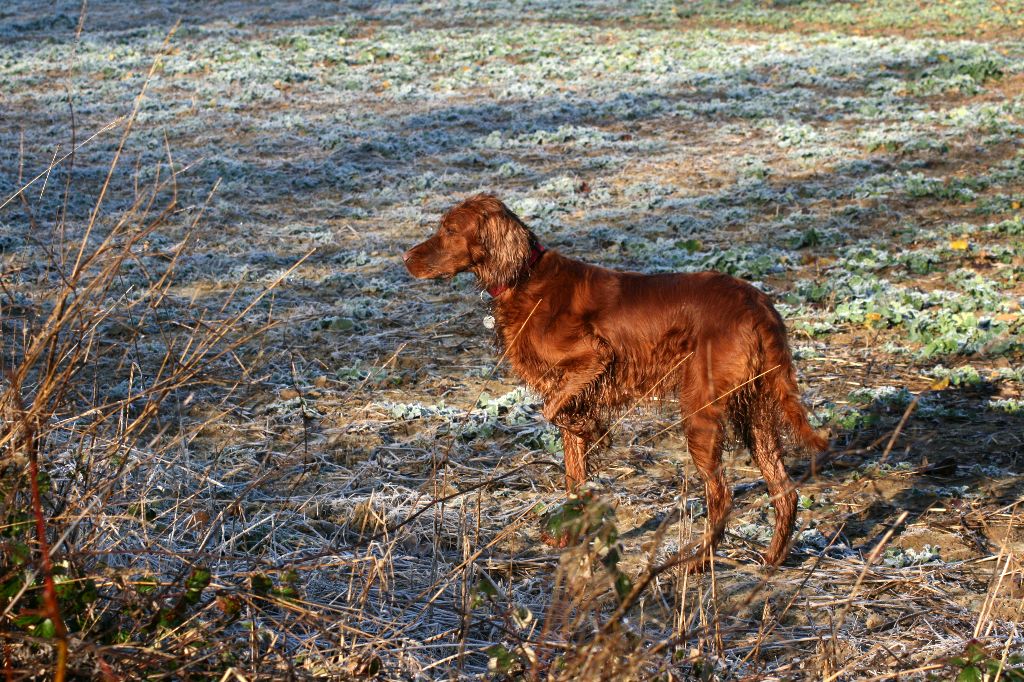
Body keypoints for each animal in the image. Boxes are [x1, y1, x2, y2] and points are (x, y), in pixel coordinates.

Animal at [403, 193, 827, 565]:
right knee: (784, 490)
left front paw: (597, 430)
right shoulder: (573, 388)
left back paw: (693, 564)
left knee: (721, 494)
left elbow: (550, 410)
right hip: (755, 413)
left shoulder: (595, 356)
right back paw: (771, 559)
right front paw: (570, 531)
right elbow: (573, 471)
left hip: (701, 409)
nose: (405, 258)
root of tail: (758, 304)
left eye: (449, 230)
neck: (524, 278)